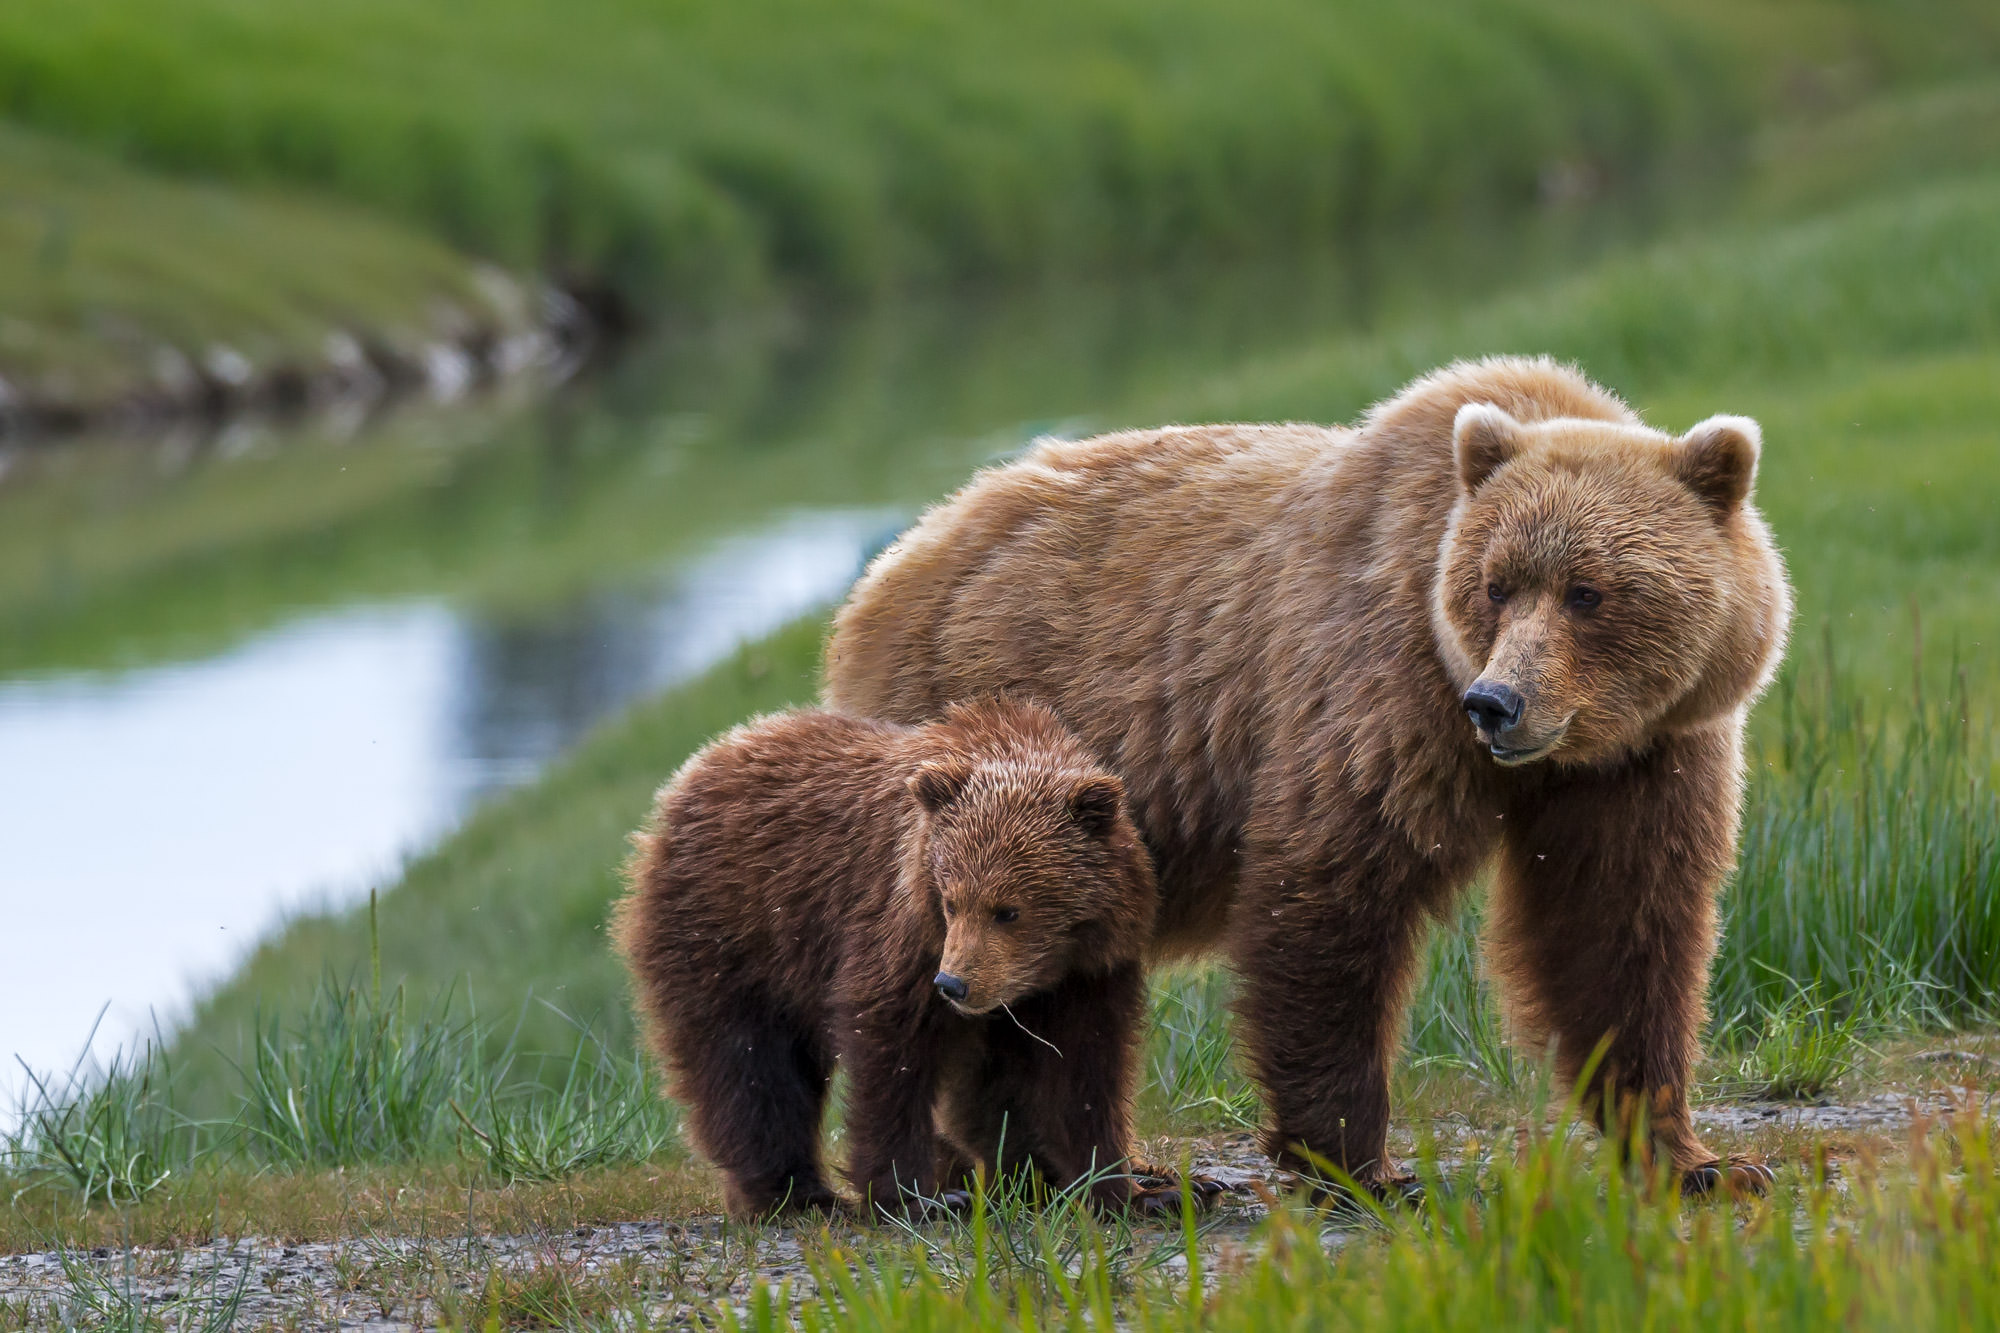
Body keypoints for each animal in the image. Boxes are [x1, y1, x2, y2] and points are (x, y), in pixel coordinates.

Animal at [613, 695, 1171, 1220]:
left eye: (1008, 910)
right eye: (951, 900)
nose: (954, 984)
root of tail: (694, 769)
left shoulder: (1087, 975)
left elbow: (1083, 1071)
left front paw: (1129, 1190)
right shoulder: (899, 931)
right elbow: (891, 1054)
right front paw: (917, 1198)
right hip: (736, 932)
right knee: (751, 1066)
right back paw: (796, 1193)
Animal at [823, 355, 1793, 1197]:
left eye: (1587, 590)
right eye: (1496, 585)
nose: (1497, 702)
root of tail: (880, 576)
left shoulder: (1647, 755)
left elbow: (1619, 925)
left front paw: (1698, 1157)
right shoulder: (1381, 685)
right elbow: (1333, 887)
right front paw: (1363, 1163)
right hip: (991, 762)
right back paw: (1090, 1174)